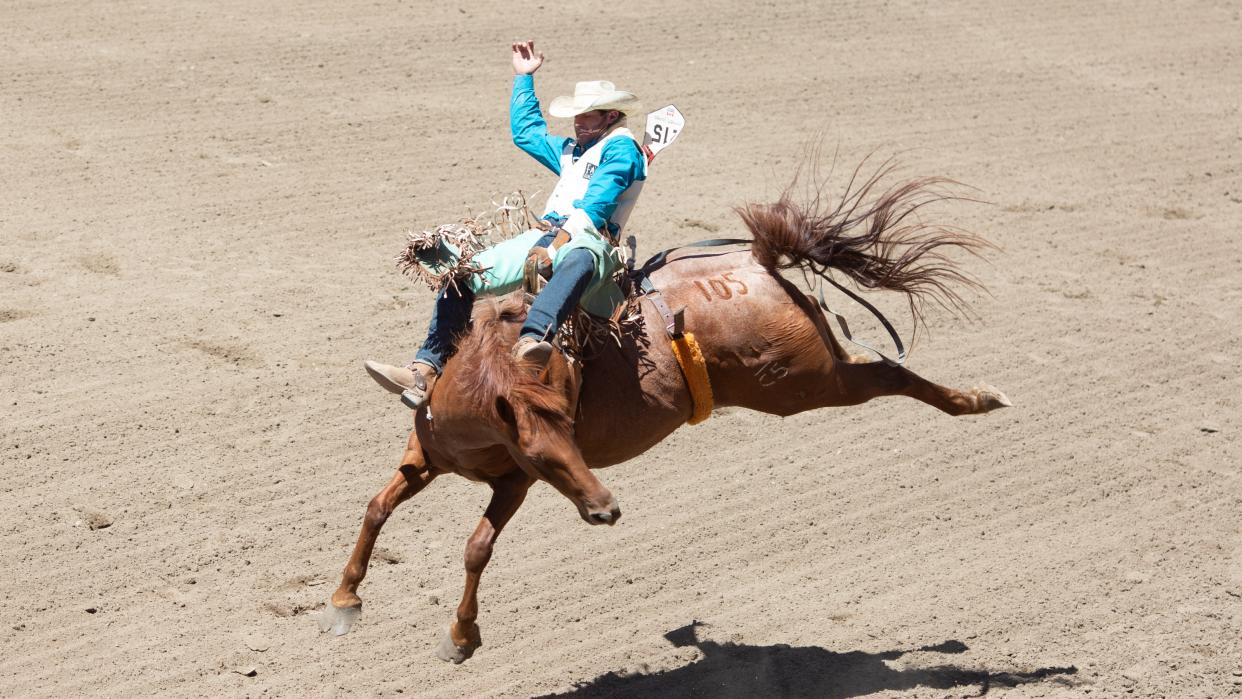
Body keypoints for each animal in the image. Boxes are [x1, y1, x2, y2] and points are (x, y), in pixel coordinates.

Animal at [317, 171, 1008, 660]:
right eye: (542, 445)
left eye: (568, 432)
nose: (607, 509)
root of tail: (759, 260)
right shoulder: (430, 457)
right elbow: (377, 508)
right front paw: (344, 601)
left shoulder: (516, 481)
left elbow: (476, 547)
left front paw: (461, 639)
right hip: (805, 376)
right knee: (872, 362)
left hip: (803, 381)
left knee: (888, 375)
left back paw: (978, 399)